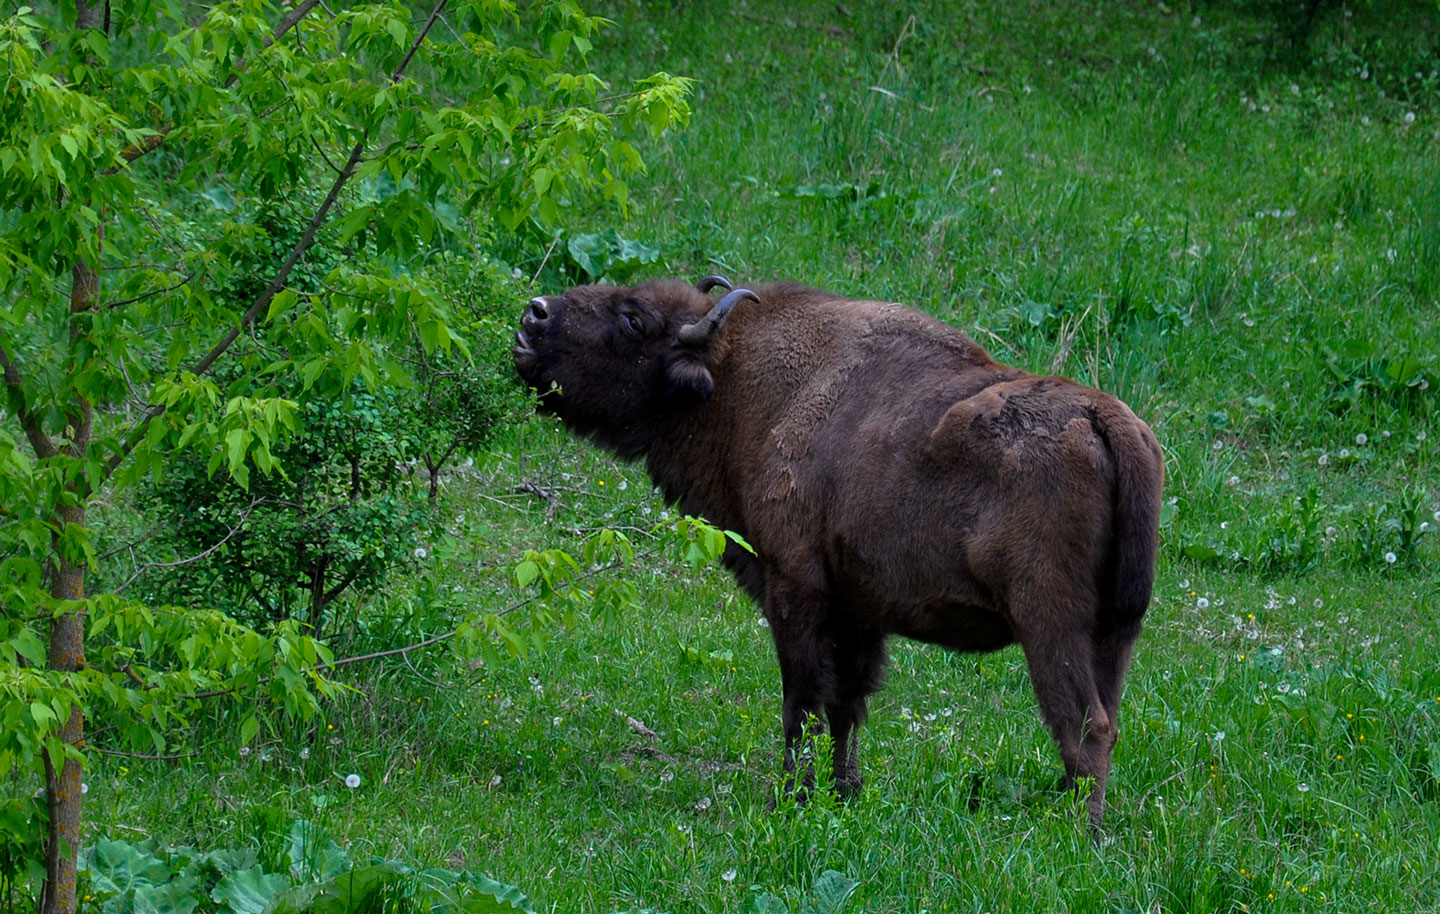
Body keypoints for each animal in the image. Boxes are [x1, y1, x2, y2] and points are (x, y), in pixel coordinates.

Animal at [512, 274, 1163, 823]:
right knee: (1106, 717)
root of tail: (1104, 416)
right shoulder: (858, 610)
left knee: (1083, 725)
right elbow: (848, 703)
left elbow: (802, 698)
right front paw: (844, 792)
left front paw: (791, 797)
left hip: (1048, 621)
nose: (534, 314)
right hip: (1114, 630)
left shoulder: (794, 586)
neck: (739, 384)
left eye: (633, 321)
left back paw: (1076, 833)